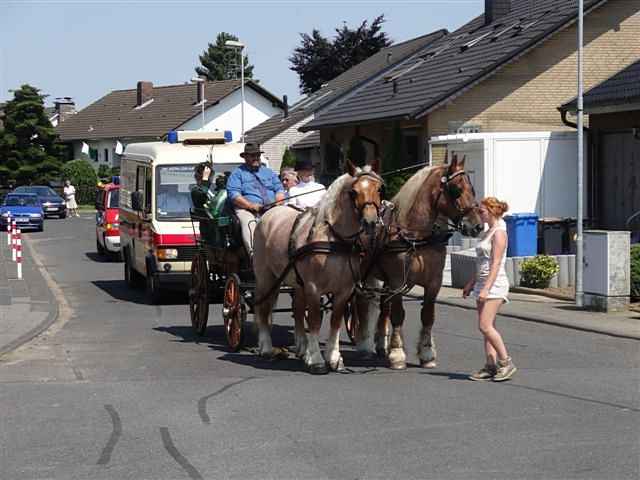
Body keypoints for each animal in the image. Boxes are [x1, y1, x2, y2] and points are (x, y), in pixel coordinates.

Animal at [252, 163, 382, 374]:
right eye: (353, 192)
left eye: (379, 189)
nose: (370, 222)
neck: (334, 239)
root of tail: (268, 214)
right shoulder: (313, 288)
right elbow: (314, 321)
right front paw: (316, 360)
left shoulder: (344, 290)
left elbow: (335, 322)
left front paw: (334, 359)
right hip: (266, 277)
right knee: (262, 308)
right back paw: (266, 348)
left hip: (297, 283)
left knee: (297, 310)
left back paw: (301, 348)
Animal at [356, 156, 480, 370]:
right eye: (456, 189)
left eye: (471, 188)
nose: (478, 225)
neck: (416, 236)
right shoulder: (397, 281)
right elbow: (398, 315)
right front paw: (397, 354)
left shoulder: (434, 282)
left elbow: (428, 315)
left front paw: (427, 353)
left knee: (383, 307)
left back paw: (380, 344)